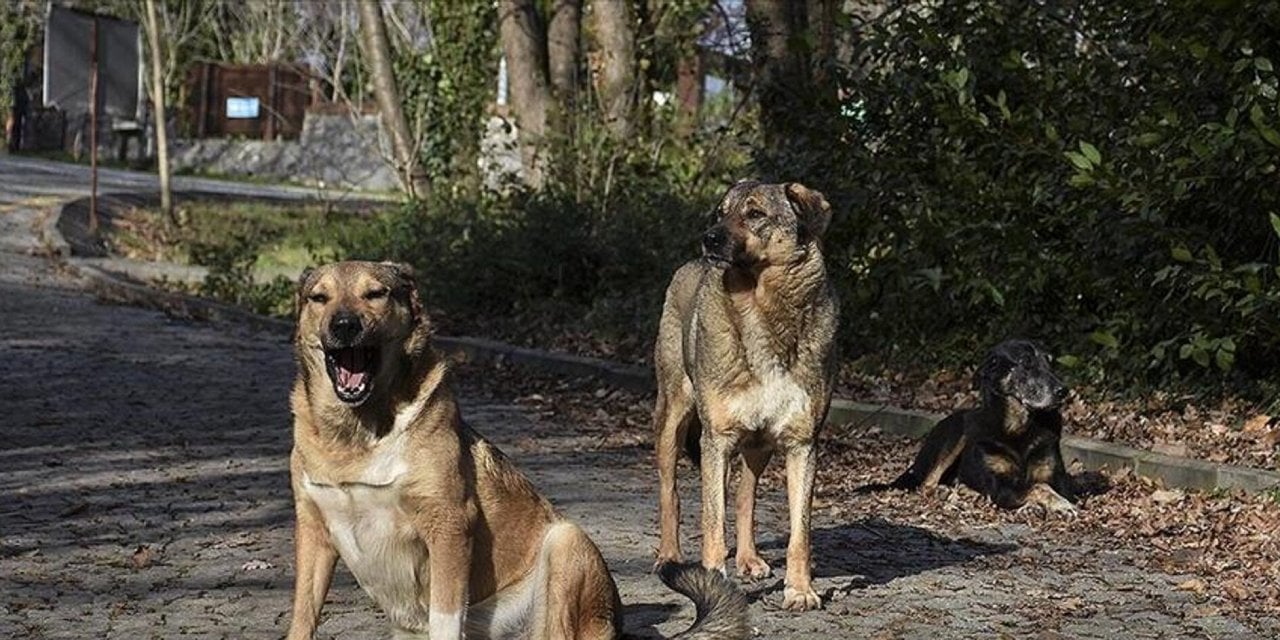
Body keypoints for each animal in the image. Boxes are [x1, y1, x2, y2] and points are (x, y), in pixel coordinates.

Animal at [288, 259, 747, 640]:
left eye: (375, 293)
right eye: (319, 298)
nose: (344, 325)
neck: (358, 433)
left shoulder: (448, 525)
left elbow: (444, 620)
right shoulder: (314, 533)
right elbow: (302, 617)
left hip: (564, 543)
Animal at [650, 180, 839, 609]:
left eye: (754, 214)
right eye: (720, 213)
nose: (709, 238)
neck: (761, 308)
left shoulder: (802, 444)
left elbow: (799, 534)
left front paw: (800, 590)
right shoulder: (716, 441)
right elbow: (712, 522)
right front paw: (712, 584)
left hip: (759, 446)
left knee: (745, 497)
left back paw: (750, 559)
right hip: (673, 421)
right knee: (672, 493)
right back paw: (669, 557)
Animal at [860, 340, 1080, 514]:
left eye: (1049, 362)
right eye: (1026, 363)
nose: (1063, 391)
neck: (1018, 427)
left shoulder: (1058, 479)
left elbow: (1043, 485)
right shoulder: (1000, 486)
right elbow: (1038, 487)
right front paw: (1057, 505)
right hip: (958, 433)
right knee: (927, 484)